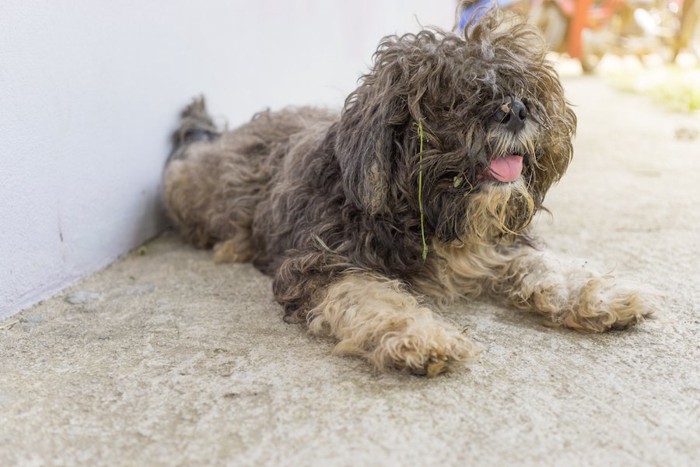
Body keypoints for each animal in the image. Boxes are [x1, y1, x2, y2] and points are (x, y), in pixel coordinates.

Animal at [163, 10, 656, 376]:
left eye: (519, 84)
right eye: (454, 95)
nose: (516, 109)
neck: (432, 215)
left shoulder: (500, 244)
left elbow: (546, 264)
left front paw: (598, 294)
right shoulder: (320, 263)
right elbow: (372, 294)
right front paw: (421, 335)